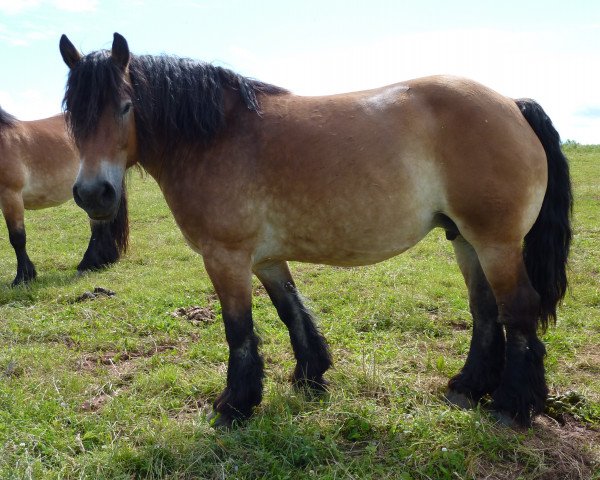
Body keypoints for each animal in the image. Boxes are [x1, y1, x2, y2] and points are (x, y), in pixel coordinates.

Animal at [59, 33, 572, 430]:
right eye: (73, 117)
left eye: (126, 107)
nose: (94, 193)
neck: (215, 136)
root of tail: (512, 104)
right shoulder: (265, 258)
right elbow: (291, 311)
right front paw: (311, 376)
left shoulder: (225, 257)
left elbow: (238, 329)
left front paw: (234, 405)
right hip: (465, 239)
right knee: (485, 311)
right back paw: (468, 387)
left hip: (495, 242)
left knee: (517, 310)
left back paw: (511, 406)